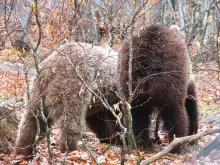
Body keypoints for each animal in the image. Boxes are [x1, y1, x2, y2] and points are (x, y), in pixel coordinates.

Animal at [117, 23, 199, 151]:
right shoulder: (187, 82)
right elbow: (191, 106)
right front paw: (192, 137)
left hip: (129, 81)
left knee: (136, 114)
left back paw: (142, 144)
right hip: (171, 78)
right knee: (174, 112)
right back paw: (176, 144)